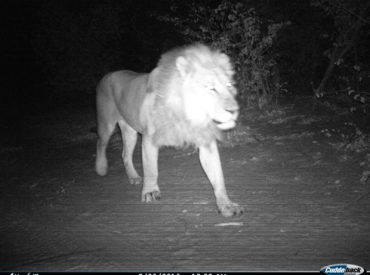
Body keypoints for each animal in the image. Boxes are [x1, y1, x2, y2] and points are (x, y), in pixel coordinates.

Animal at [95, 43, 244, 218]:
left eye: (229, 85)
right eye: (211, 88)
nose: (234, 110)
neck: (188, 113)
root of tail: (108, 75)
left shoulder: (206, 142)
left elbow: (218, 176)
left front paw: (226, 205)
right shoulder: (149, 138)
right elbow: (151, 169)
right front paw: (150, 192)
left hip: (129, 131)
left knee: (125, 154)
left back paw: (134, 177)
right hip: (106, 124)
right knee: (100, 143)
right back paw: (101, 167)